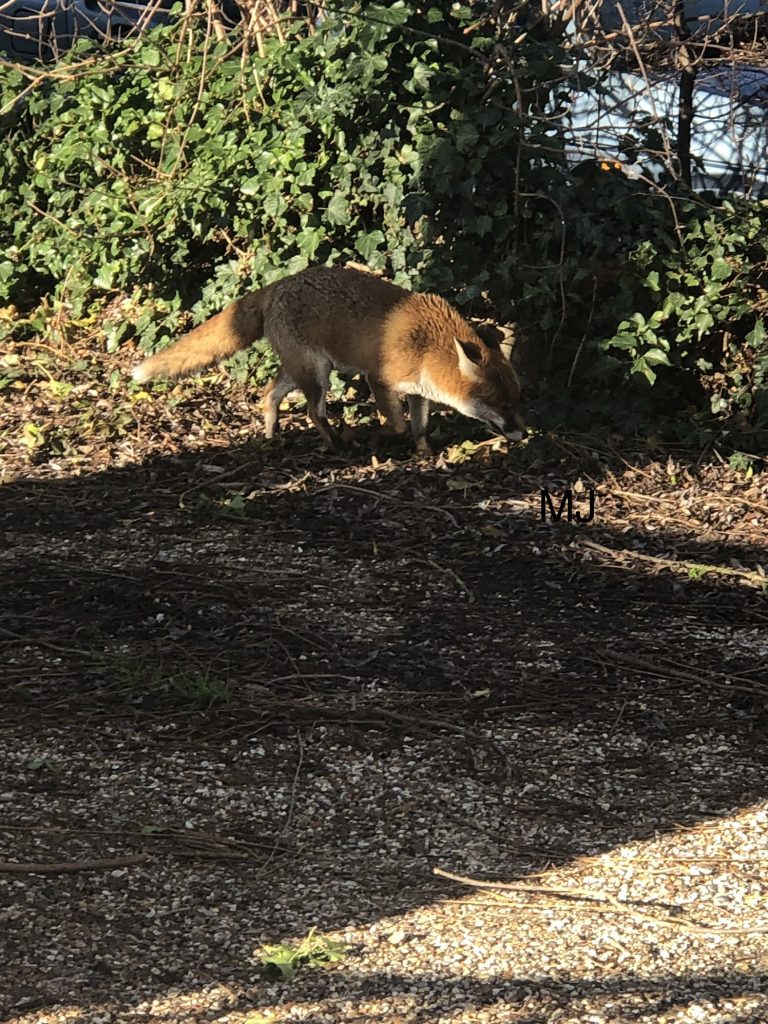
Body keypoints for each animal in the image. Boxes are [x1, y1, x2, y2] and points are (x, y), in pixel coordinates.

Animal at [131, 265, 524, 455]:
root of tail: (281, 282)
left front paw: (425, 453)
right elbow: (396, 425)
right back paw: (336, 444)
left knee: (269, 394)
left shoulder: (418, 391)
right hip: (317, 374)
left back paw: (272, 435)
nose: (523, 432)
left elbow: (420, 427)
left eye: (515, 400)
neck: (428, 345)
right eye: (499, 404)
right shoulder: (378, 379)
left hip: (303, 370)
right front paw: (374, 439)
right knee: (312, 411)